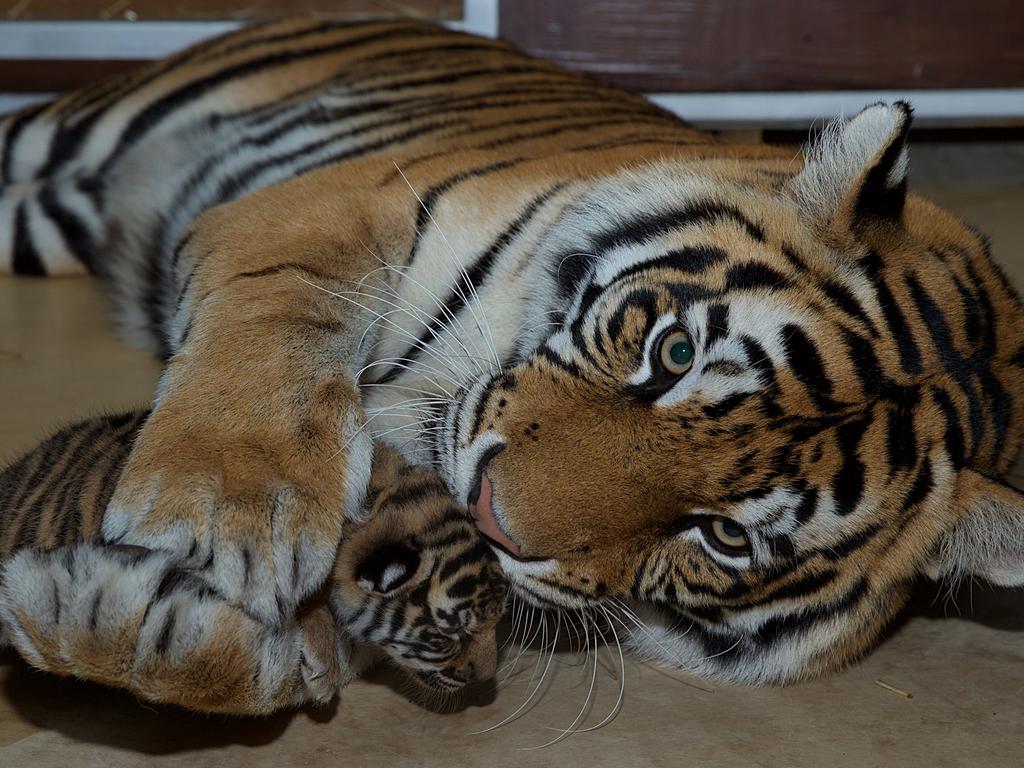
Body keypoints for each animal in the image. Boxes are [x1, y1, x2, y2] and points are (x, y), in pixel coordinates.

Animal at [2, 20, 1024, 688]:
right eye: (675, 352)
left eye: (727, 536)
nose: (488, 512)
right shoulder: (326, 206)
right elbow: (275, 325)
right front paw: (222, 515)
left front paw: (135, 624)